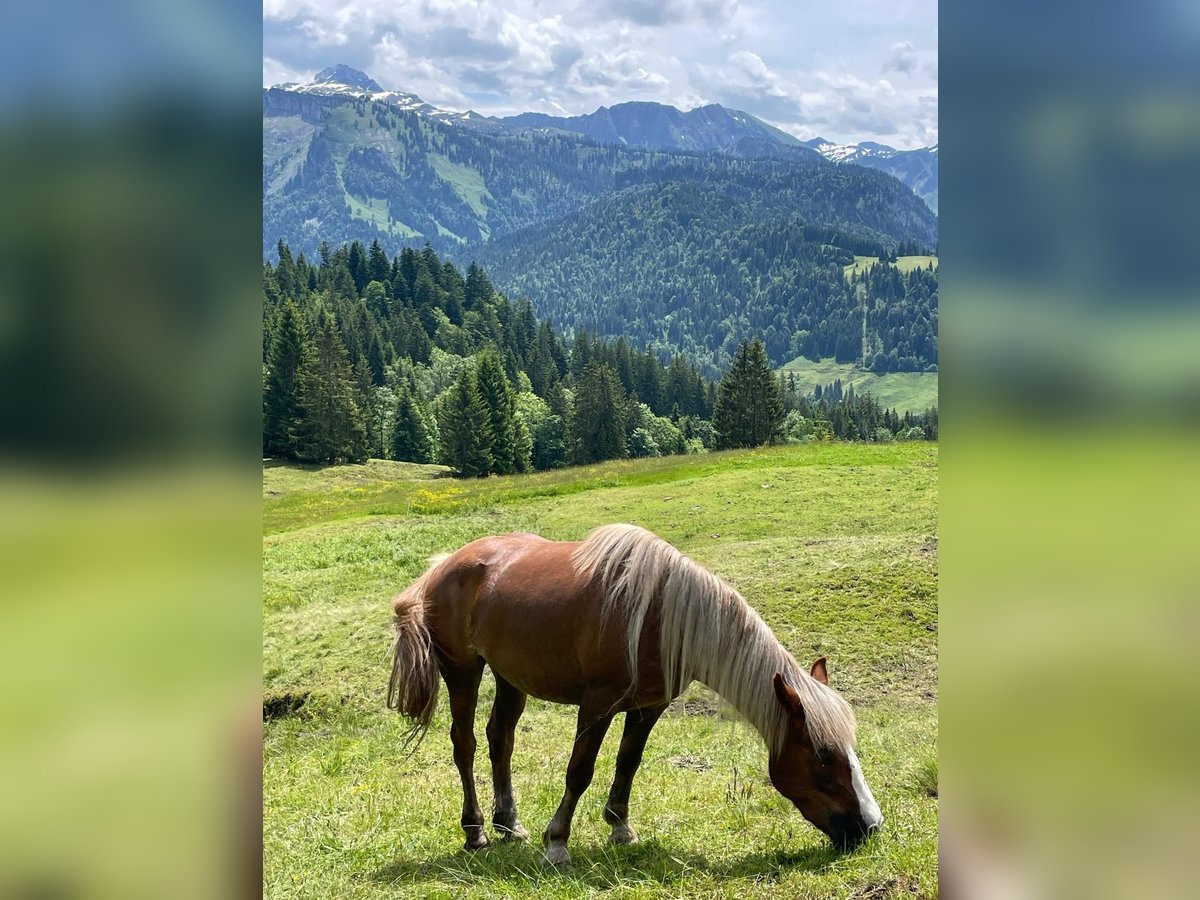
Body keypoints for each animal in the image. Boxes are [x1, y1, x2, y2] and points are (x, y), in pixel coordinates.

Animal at [386, 525, 883, 868]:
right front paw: (557, 844)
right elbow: (579, 771)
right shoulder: (597, 704)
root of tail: (446, 564)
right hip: (463, 672)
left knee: (500, 740)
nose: (871, 826)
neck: (660, 616)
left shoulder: (649, 707)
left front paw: (620, 827)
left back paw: (509, 823)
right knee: (465, 745)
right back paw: (476, 833)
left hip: (511, 677)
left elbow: (628, 762)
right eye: (823, 757)